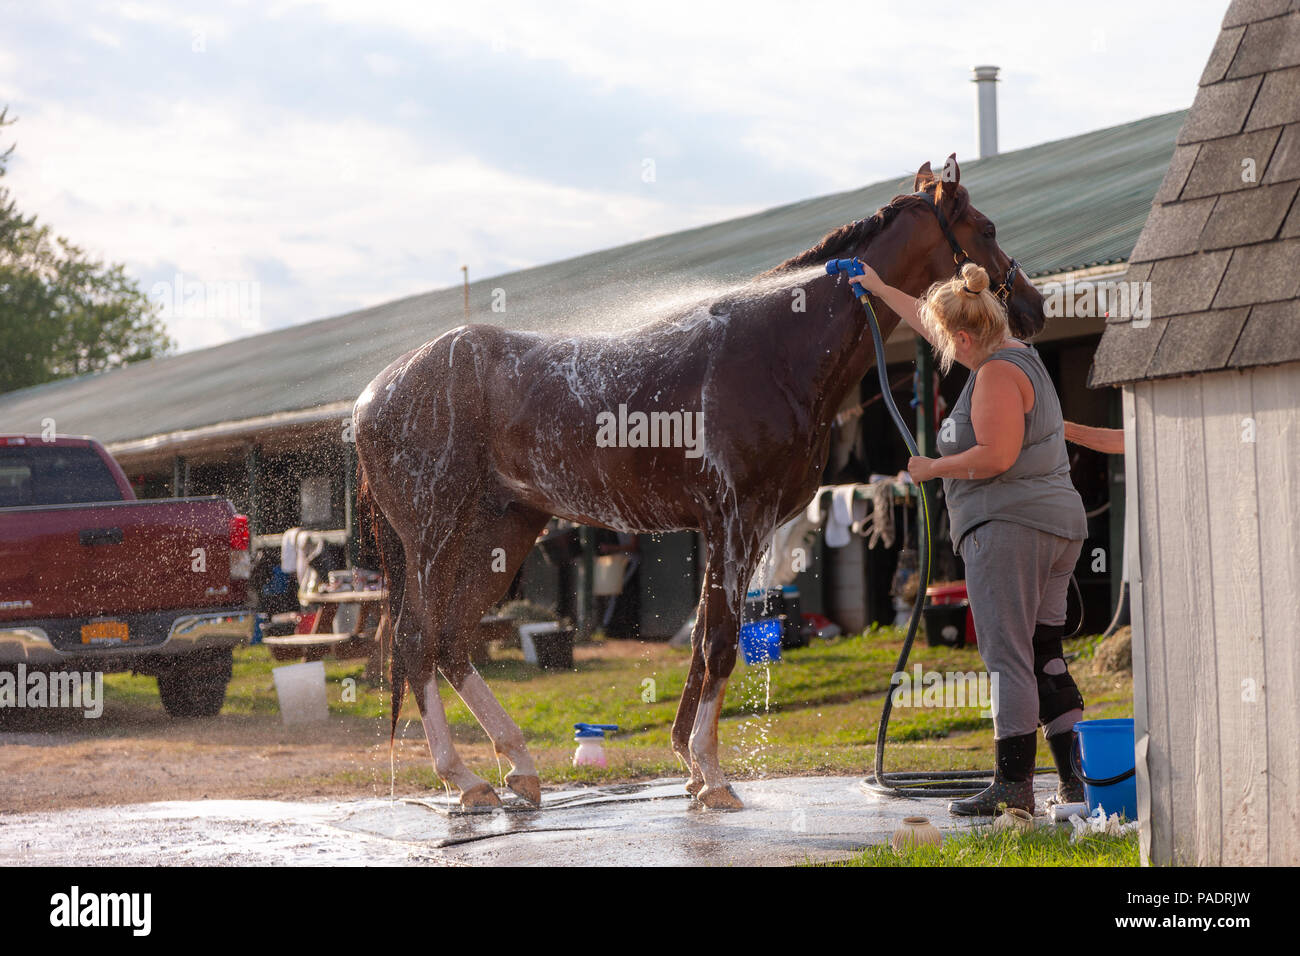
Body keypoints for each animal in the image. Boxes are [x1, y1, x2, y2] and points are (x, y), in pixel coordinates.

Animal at [353, 155, 1045, 806]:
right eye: (985, 229)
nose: (1035, 307)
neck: (777, 350)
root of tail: (371, 397)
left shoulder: (725, 529)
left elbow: (703, 642)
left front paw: (689, 762)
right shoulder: (739, 521)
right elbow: (718, 643)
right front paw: (713, 776)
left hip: (505, 532)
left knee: (452, 639)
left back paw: (516, 769)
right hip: (436, 540)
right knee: (416, 640)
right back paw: (464, 777)